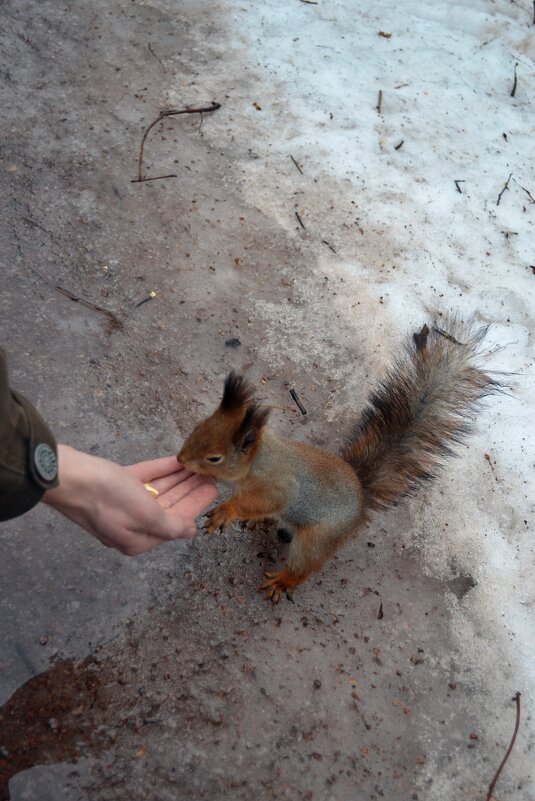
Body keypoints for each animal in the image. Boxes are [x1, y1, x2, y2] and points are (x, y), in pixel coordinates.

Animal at [179, 316, 502, 604]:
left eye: (215, 457)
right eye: (197, 428)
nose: (181, 459)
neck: (259, 460)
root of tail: (361, 499)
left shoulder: (277, 485)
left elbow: (264, 501)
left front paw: (228, 511)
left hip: (317, 539)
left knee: (304, 566)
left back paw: (283, 581)